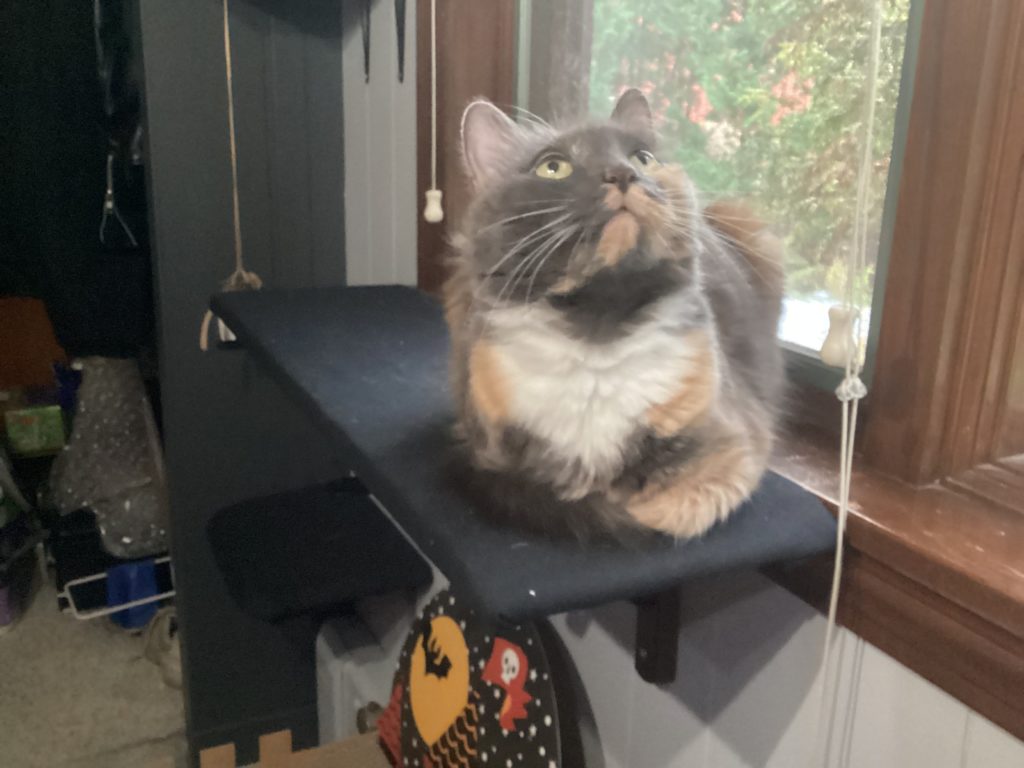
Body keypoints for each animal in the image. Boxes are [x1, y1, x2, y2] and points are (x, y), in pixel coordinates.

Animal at [442, 91, 782, 540]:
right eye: (553, 166)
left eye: (642, 157)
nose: (623, 173)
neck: (598, 328)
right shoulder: (488, 445)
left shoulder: (730, 451)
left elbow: (651, 506)